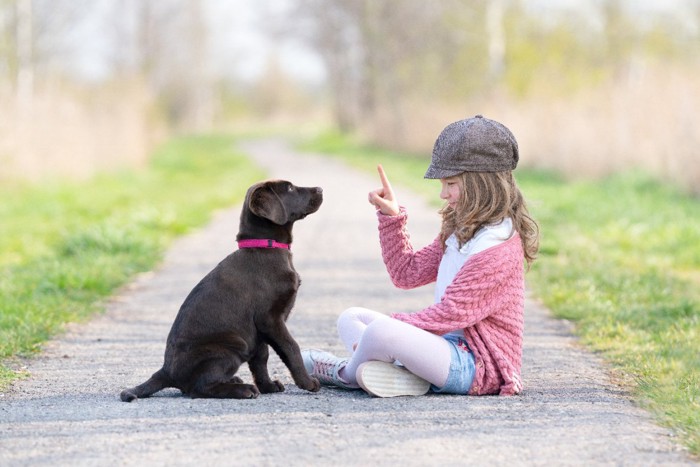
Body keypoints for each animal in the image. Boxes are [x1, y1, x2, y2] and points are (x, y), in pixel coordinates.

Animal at [121, 180, 324, 402]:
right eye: (289, 188)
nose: (320, 189)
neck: (266, 247)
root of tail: (166, 372)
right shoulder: (269, 319)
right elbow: (291, 347)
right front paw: (307, 383)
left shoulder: (259, 330)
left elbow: (261, 358)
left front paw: (268, 386)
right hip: (232, 346)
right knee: (198, 389)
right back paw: (242, 389)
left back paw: (236, 381)